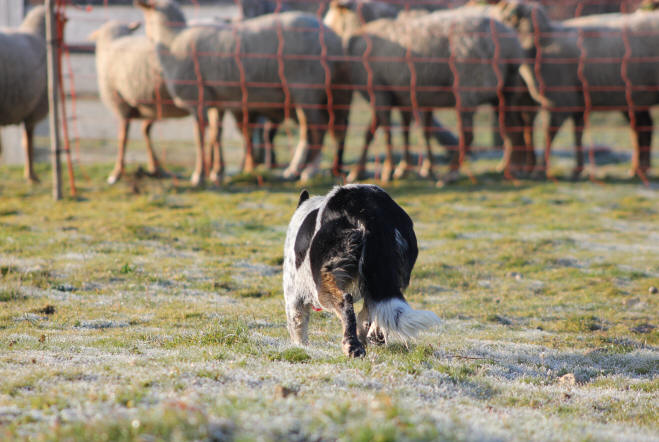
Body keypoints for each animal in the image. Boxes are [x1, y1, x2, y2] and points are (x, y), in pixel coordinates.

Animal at [282, 185, 438, 358]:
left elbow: (297, 327)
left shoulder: (294, 297)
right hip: (387, 276)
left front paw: (301, 347)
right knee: (373, 309)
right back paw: (372, 336)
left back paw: (352, 346)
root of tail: (369, 211)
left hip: (323, 283)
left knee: (346, 303)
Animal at [328, 3, 548, 183]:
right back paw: (510, 169)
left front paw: (386, 170)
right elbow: (402, 130)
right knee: (511, 128)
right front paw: (408, 168)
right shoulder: (404, 96)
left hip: (467, 88)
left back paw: (451, 174)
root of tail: (511, 47)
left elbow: (384, 132)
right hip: (504, 91)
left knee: (468, 135)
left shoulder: (378, 90)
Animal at [496, 2, 659, 178]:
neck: (544, 42)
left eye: (510, 18)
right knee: (643, 127)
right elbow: (577, 133)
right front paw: (578, 169)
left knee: (642, 128)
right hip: (634, 97)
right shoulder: (576, 102)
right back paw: (638, 169)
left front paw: (541, 170)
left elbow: (549, 135)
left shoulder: (560, 100)